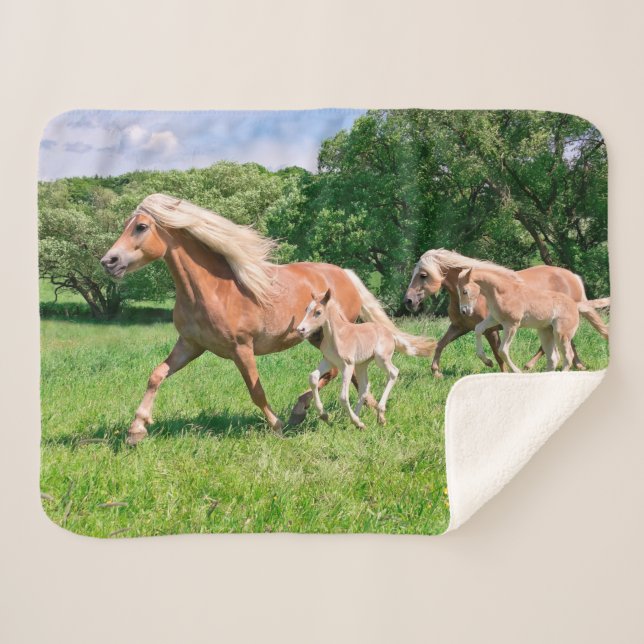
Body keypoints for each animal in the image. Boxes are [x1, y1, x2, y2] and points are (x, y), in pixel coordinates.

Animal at [296, 289, 429, 428]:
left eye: (318, 312)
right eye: (306, 309)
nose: (300, 329)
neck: (337, 336)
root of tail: (391, 334)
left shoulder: (347, 365)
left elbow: (343, 397)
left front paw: (353, 421)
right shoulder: (329, 361)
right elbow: (313, 378)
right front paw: (324, 415)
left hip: (381, 358)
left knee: (393, 372)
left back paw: (378, 416)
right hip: (362, 364)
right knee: (365, 387)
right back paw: (359, 419)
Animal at [457, 267, 604, 372]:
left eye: (464, 291)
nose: (464, 311)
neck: (502, 292)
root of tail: (575, 305)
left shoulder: (511, 325)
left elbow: (502, 350)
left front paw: (517, 371)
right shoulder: (495, 319)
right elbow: (478, 329)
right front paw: (487, 361)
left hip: (561, 334)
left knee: (567, 356)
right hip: (546, 333)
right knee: (553, 358)